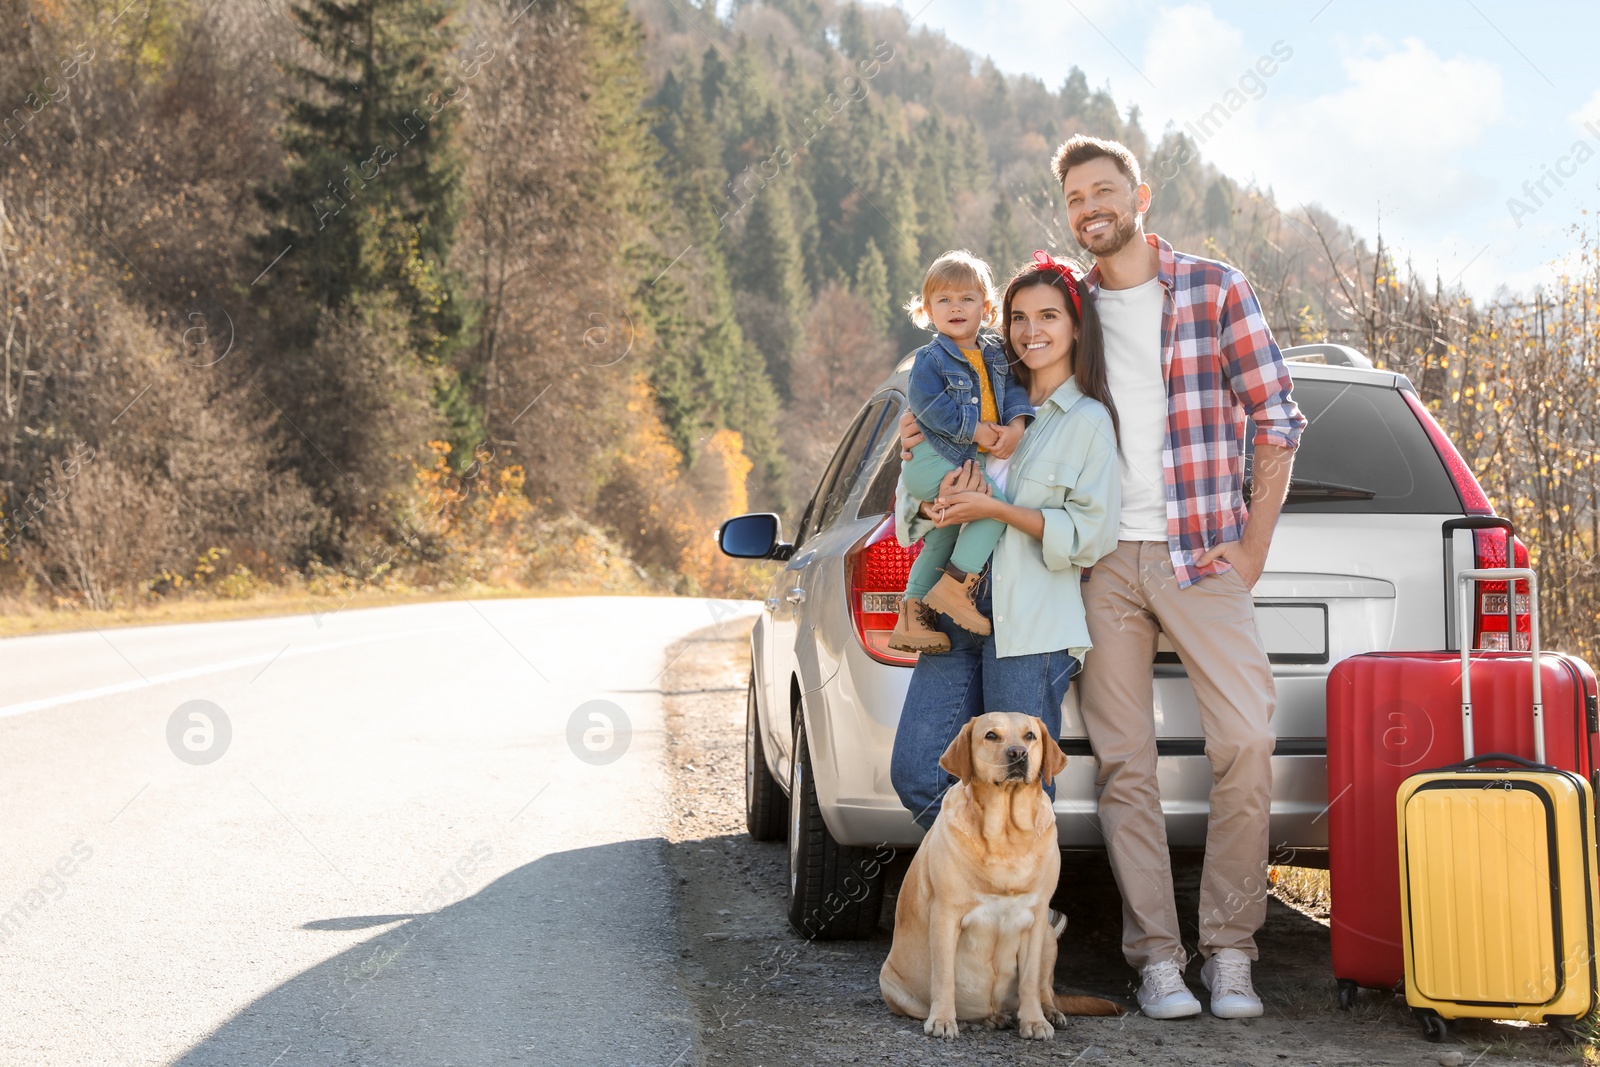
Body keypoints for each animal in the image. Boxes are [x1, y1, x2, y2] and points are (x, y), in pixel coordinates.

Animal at [876, 713, 1126, 1036]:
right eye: (991, 735)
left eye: (1030, 736)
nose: (1018, 753)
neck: (1005, 834)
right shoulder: (946, 914)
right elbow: (943, 976)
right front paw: (942, 1019)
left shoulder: (1035, 921)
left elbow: (1030, 981)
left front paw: (1034, 1021)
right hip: (891, 982)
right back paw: (984, 1017)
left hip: (1048, 937)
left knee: (1046, 988)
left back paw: (1047, 1011)